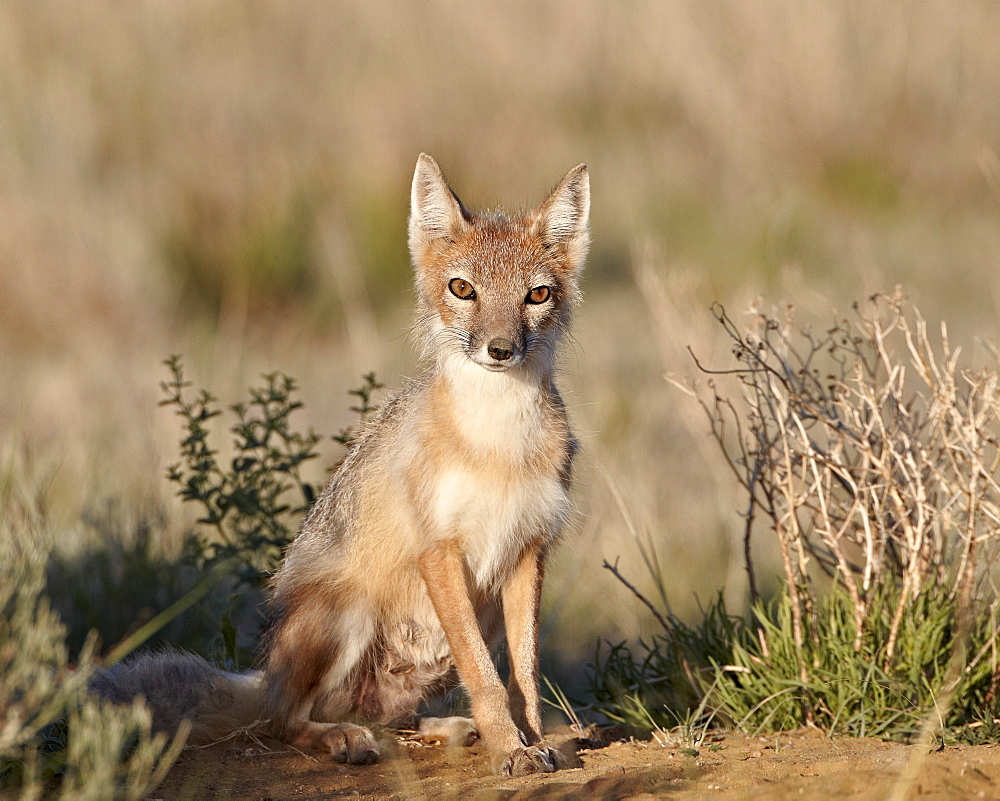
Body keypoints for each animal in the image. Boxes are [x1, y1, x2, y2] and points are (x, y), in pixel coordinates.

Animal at [91, 155, 588, 776]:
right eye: (463, 289)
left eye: (537, 295)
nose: (500, 349)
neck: (499, 443)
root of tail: (267, 677)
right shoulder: (440, 552)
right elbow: (485, 675)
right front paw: (510, 748)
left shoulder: (528, 551)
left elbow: (523, 674)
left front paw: (532, 739)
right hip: (345, 614)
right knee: (284, 723)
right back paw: (344, 739)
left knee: (391, 719)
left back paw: (444, 729)